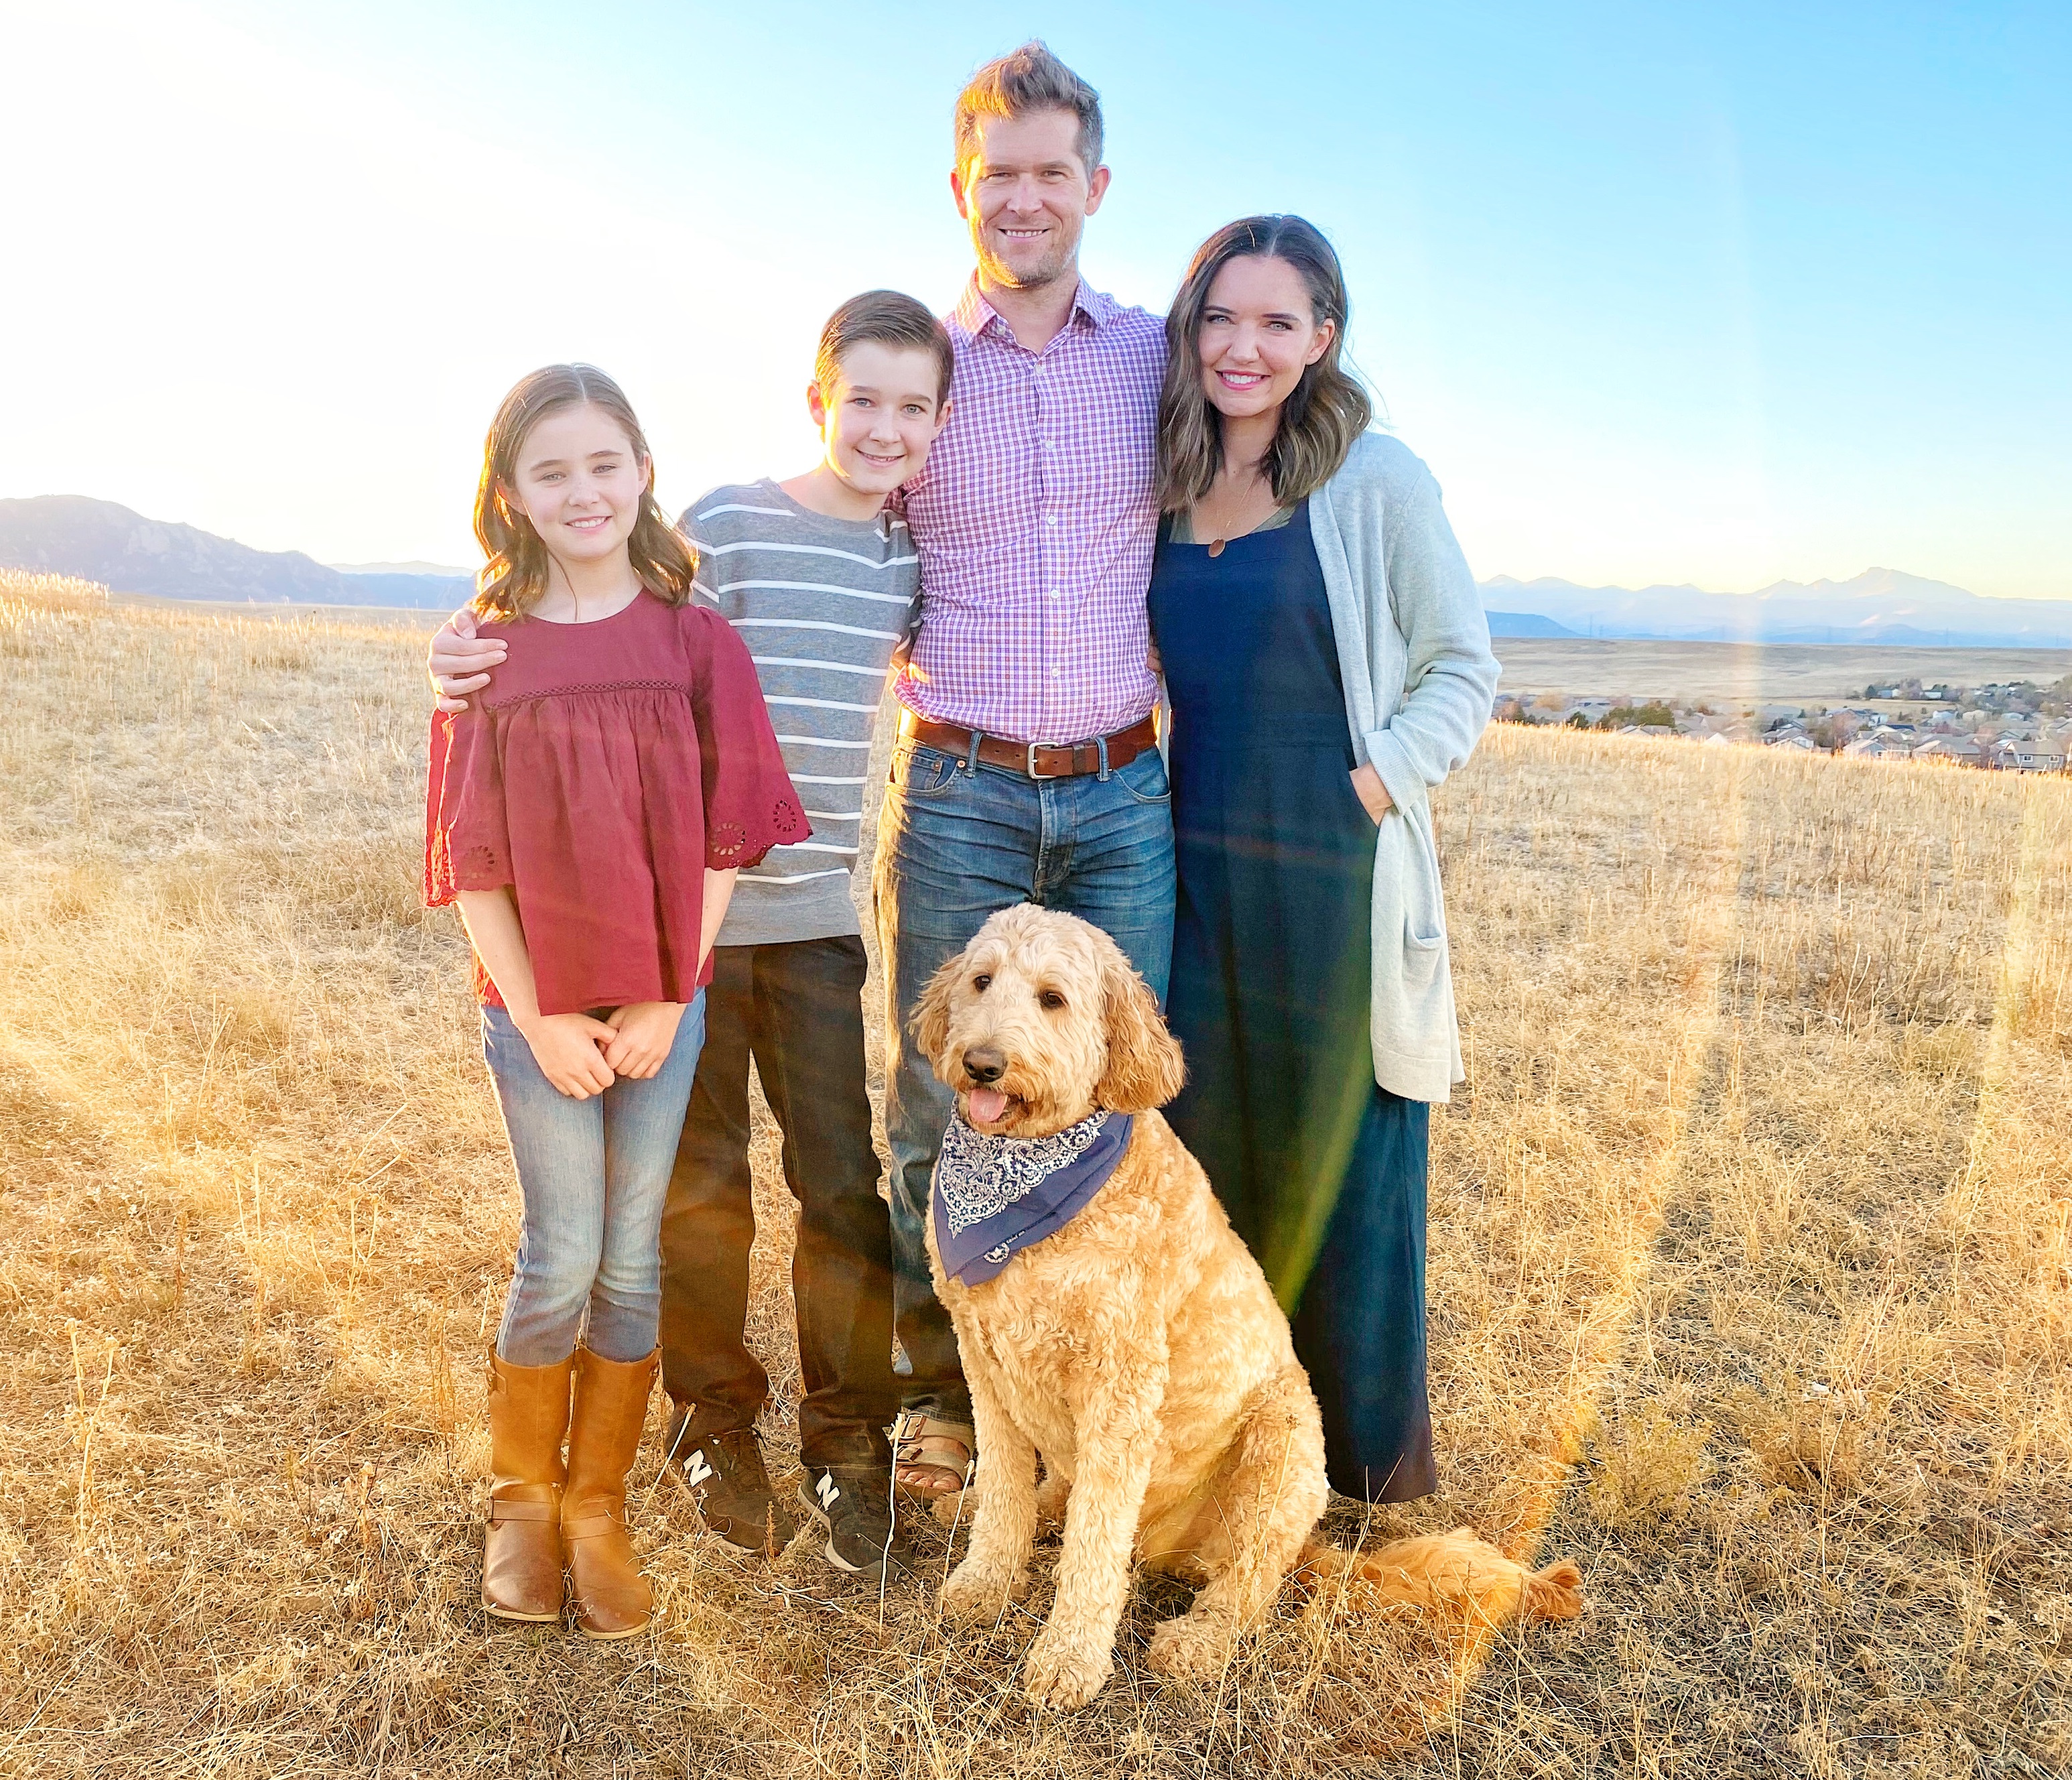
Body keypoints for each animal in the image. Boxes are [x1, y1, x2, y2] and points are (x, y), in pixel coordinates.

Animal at [915, 903, 1574, 1716]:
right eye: (981, 981)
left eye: (1052, 999)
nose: (981, 1062)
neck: (1034, 1186)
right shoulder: (988, 1365)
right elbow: (1008, 1493)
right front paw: (984, 1581)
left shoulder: (1120, 1390)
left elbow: (1094, 1551)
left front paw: (1069, 1659)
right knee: (1064, 1502)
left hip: (1282, 1448)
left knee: (1244, 1581)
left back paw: (1200, 1639)